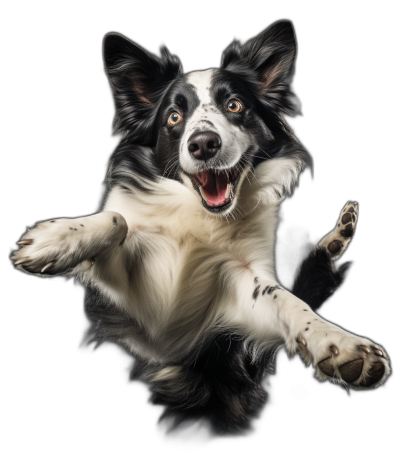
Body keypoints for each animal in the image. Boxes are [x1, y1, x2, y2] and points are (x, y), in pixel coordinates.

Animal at [12, 21, 390, 440]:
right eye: (175, 117)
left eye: (235, 106)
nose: (203, 144)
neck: (200, 218)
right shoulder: (135, 306)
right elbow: (118, 219)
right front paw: (55, 240)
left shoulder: (238, 296)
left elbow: (285, 298)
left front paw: (337, 342)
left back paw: (339, 235)